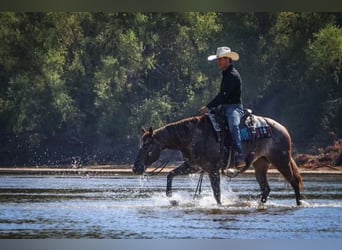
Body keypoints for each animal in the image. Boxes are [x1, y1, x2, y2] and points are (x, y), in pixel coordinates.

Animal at [132, 113, 304, 205]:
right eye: (139, 145)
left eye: (146, 147)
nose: (135, 168)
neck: (193, 136)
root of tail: (283, 129)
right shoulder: (193, 166)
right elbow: (170, 175)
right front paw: (171, 198)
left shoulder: (212, 170)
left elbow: (217, 194)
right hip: (260, 164)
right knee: (266, 189)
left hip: (281, 161)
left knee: (294, 182)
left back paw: (299, 204)